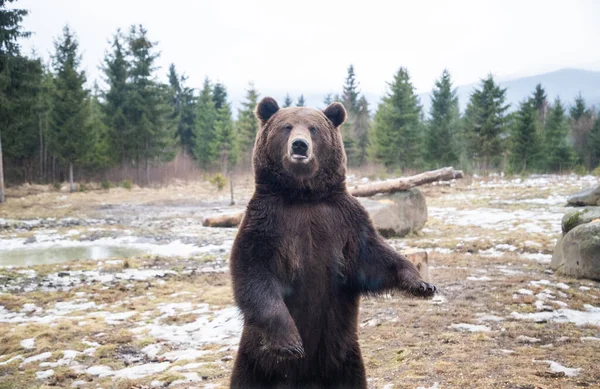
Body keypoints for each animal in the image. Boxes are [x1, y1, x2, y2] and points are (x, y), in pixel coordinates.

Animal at [230, 97, 436, 388]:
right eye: (287, 126)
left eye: (313, 128)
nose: (300, 145)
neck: (304, 196)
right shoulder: (266, 223)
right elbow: (254, 273)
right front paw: (291, 343)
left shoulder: (344, 222)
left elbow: (375, 258)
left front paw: (422, 283)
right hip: (256, 361)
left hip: (344, 357)